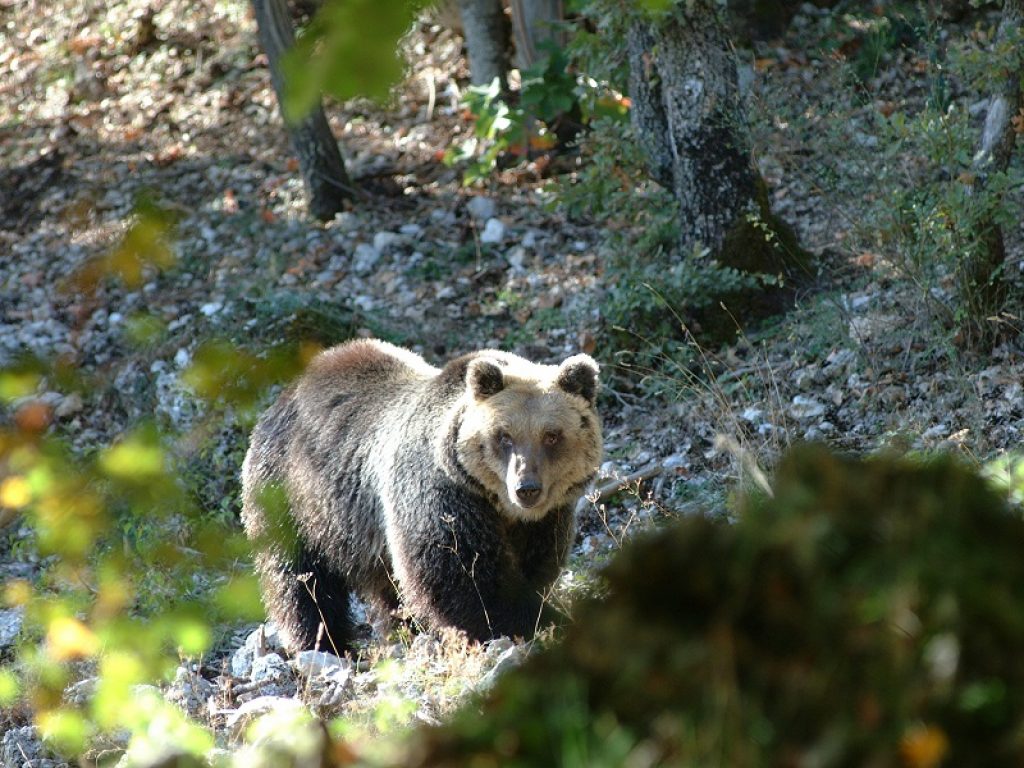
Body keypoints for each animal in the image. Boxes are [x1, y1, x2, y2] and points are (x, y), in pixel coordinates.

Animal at [240, 339, 602, 654]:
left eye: (552, 435)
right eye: (504, 436)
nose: (526, 487)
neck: (500, 506)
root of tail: (285, 394)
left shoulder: (546, 520)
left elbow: (537, 566)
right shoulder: (441, 495)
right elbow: (465, 579)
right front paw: (540, 621)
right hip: (293, 496)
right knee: (299, 579)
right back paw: (325, 644)